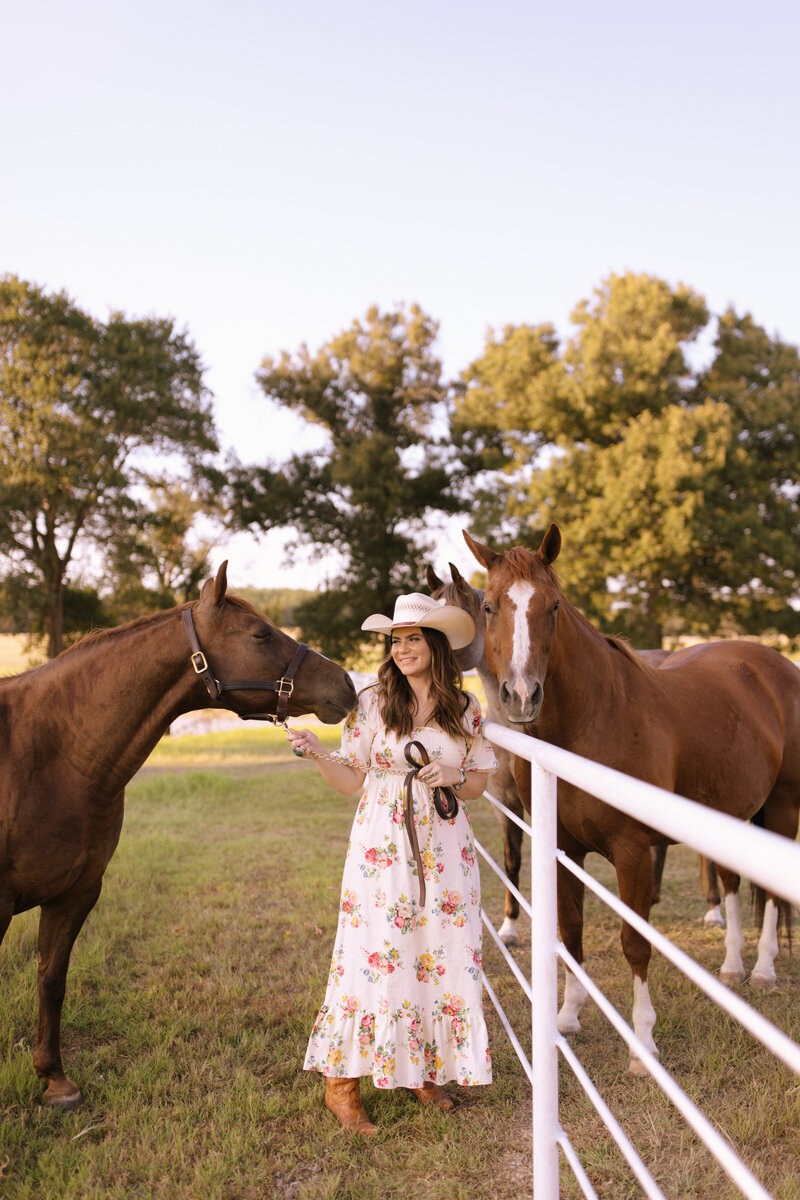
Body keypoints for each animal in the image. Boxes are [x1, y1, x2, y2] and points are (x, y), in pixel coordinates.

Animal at [0, 561, 357, 1104]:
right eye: (260, 634)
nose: (347, 684)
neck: (51, 756)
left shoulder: (75, 894)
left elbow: (51, 980)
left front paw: (54, 1078)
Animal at [462, 525, 800, 1070]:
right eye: (490, 606)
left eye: (553, 606)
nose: (521, 695)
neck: (595, 719)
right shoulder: (562, 849)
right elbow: (571, 930)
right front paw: (567, 1016)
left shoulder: (633, 852)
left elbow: (635, 943)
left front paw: (642, 1043)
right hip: (734, 814)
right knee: (731, 884)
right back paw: (732, 964)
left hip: (783, 809)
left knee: (771, 894)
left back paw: (766, 968)